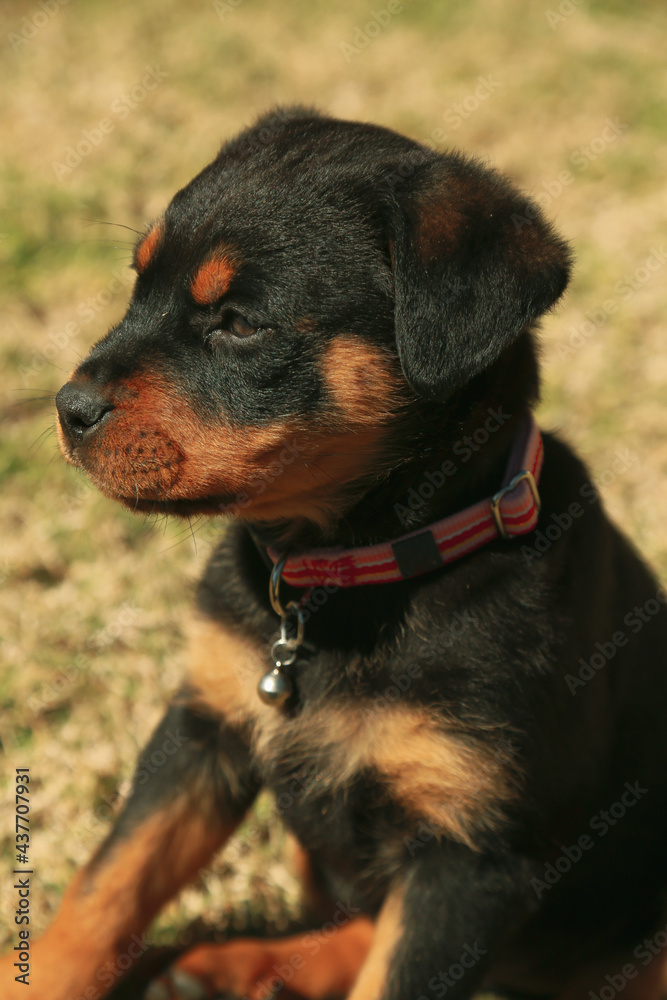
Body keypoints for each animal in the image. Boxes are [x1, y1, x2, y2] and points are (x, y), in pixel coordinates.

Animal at [5, 107, 667, 1000]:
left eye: (239, 323)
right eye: (137, 285)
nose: (67, 408)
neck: (345, 575)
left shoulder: (470, 851)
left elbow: (395, 977)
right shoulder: (203, 729)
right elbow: (106, 886)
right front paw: (33, 976)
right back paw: (231, 967)